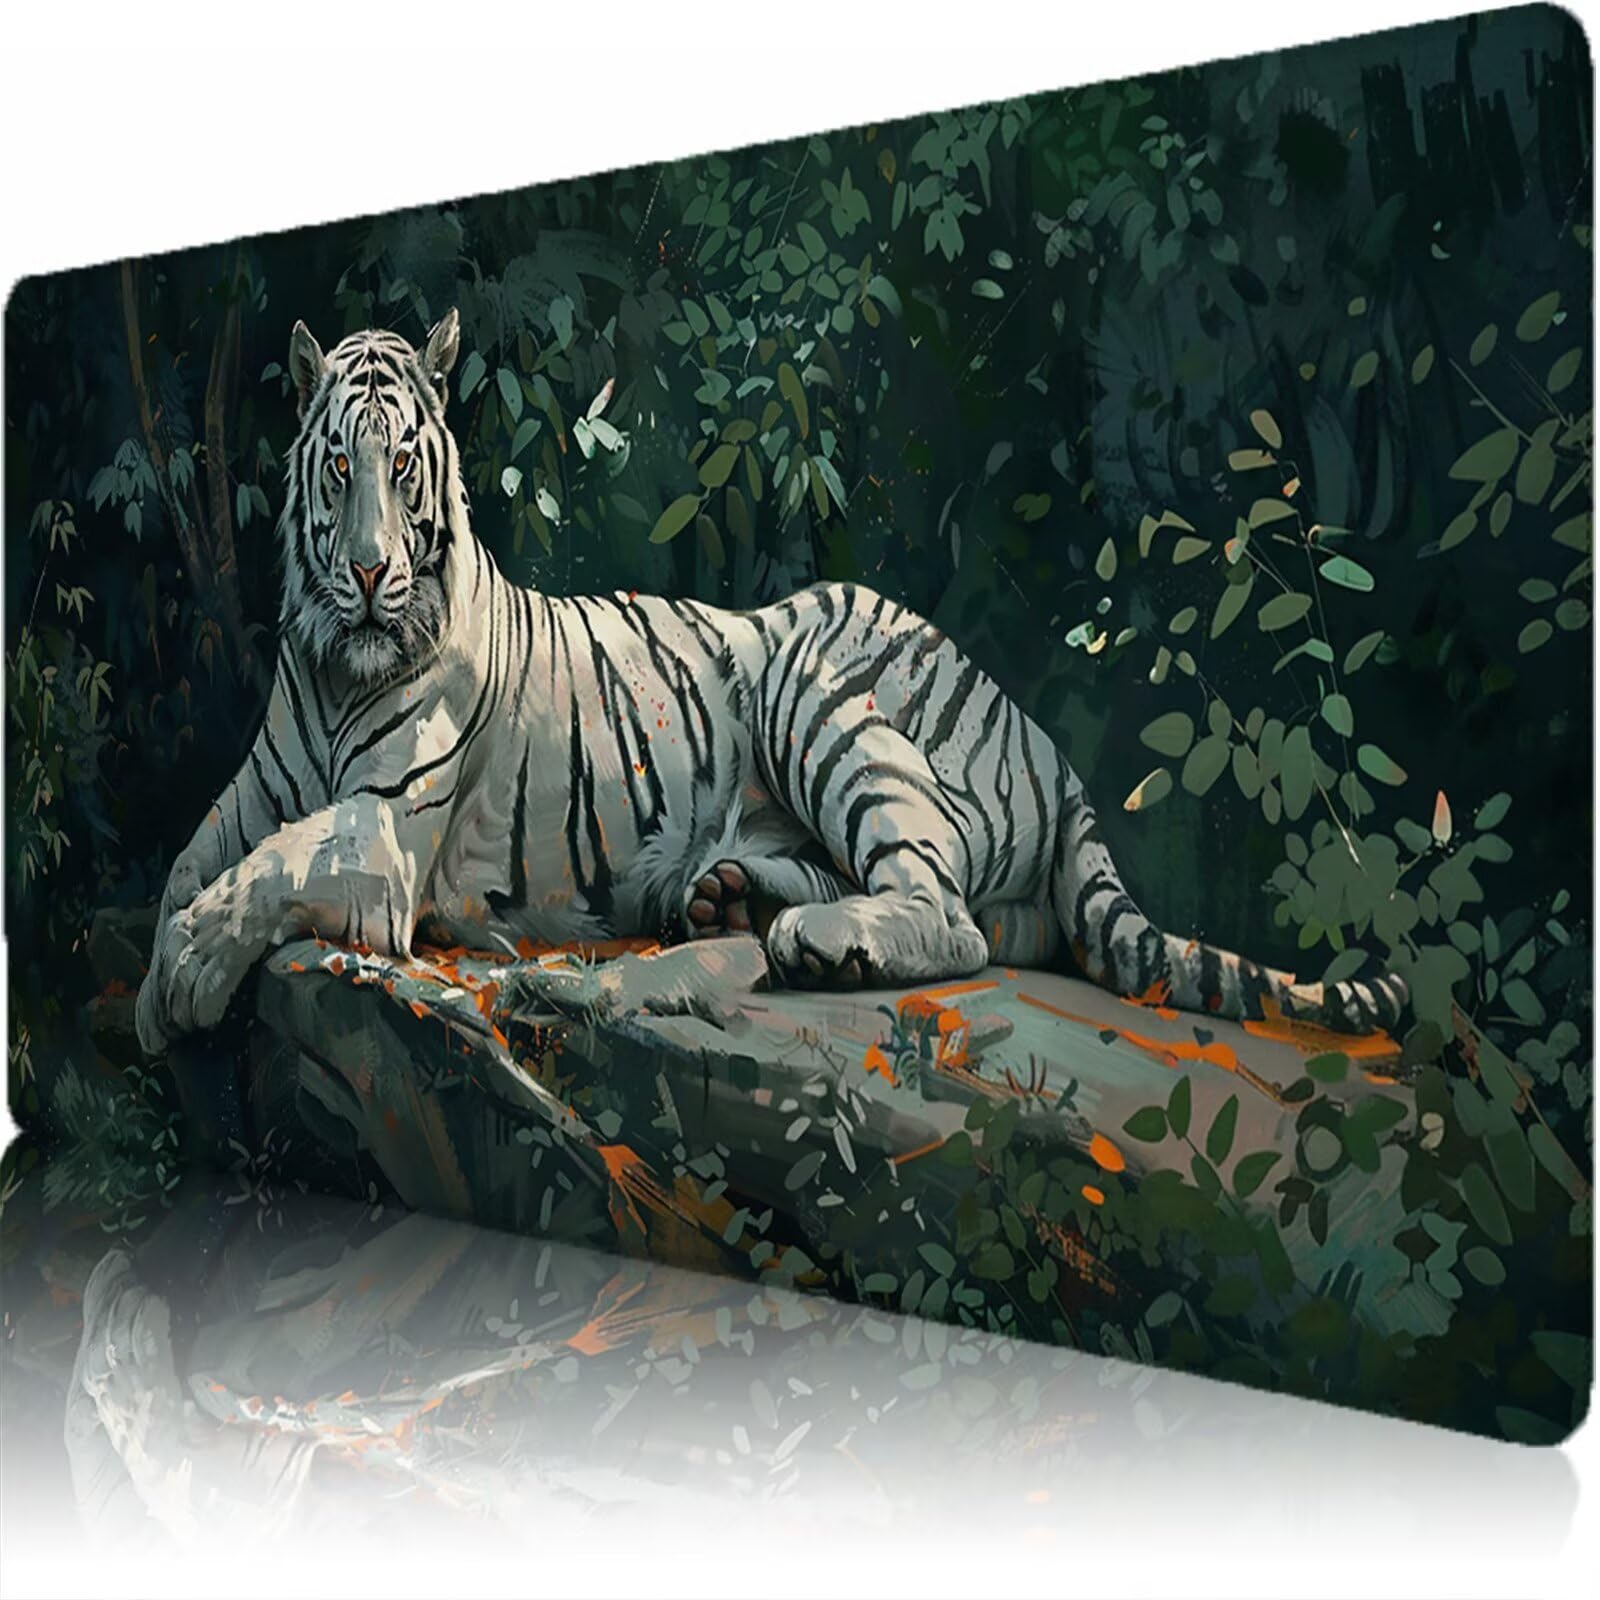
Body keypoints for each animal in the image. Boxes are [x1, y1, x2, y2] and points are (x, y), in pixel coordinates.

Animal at [133, 309, 1408, 1055]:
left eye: (402, 465)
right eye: (337, 465)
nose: (366, 573)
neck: (333, 662)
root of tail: (1043, 739)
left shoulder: (385, 825)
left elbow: (270, 865)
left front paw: (188, 973)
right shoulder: (259, 787)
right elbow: (192, 858)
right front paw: (153, 991)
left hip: (820, 684)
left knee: (950, 912)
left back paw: (808, 938)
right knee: (980, 914)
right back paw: (728, 901)